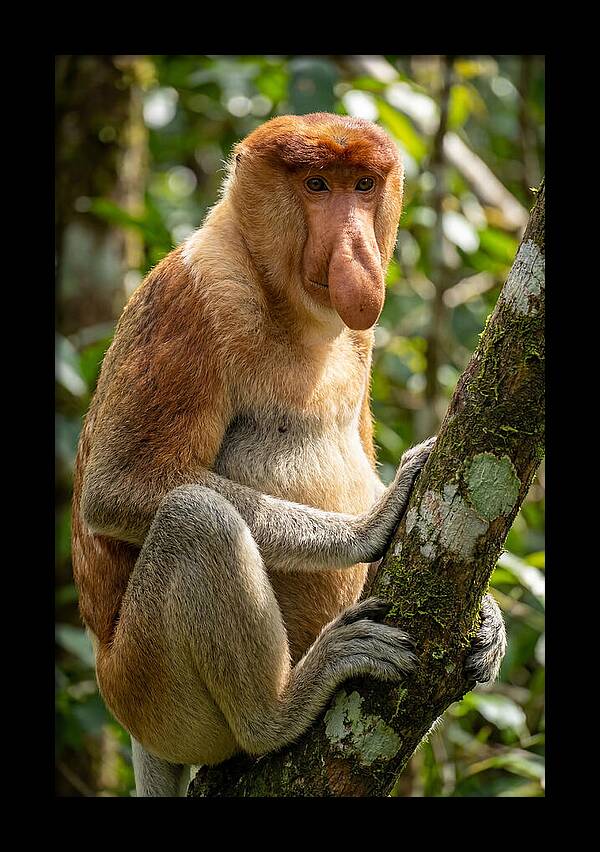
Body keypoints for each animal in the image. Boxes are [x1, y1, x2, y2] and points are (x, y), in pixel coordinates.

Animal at [71, 113, 506, 797]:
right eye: (317, 185)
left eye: (362, 185)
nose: (356, 249)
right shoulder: (193, 297)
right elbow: (118, 487)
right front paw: (370, 524)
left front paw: (489, 618)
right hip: (148, 691)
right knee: (195, 519)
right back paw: (281, 709)